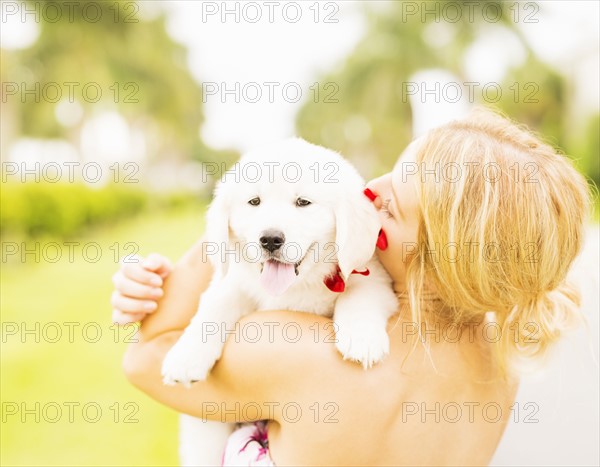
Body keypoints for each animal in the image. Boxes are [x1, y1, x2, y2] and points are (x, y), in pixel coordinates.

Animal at [162, 138, 400, 464]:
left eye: (303, 202)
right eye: (254, 202)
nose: (270, 239)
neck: (299, 285)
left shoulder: (372, 274)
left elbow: (359, 296)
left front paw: (362, 339)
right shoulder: (237, 280)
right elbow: (215, 305)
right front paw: (186, 356)